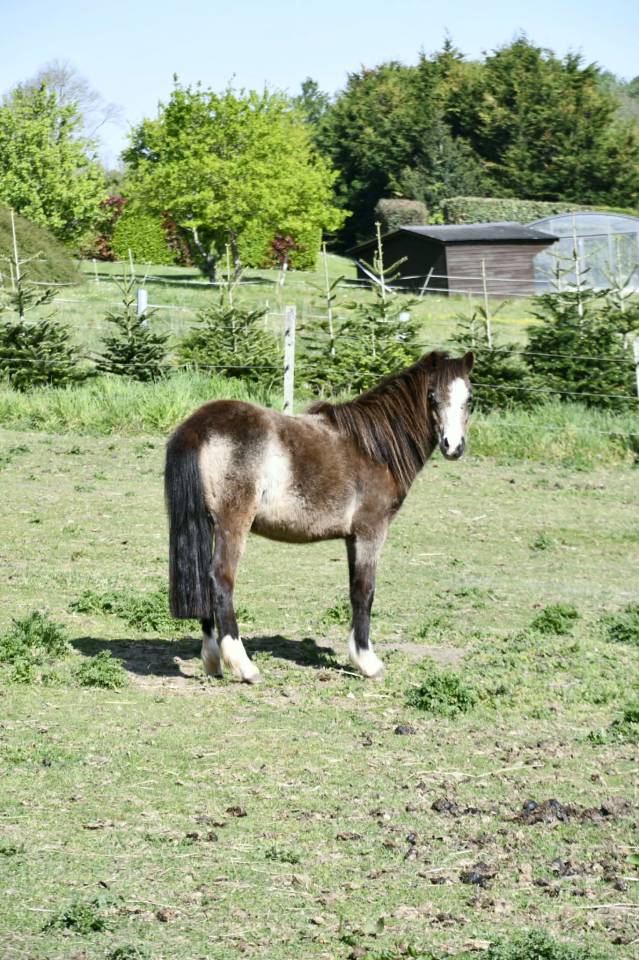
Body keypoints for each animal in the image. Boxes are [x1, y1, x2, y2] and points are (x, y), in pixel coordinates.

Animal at [164, 350, 474, 684]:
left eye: (469, 398)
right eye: (432, 396)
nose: (453, 446)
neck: (373, 449)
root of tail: (199, 425)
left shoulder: (352, 538)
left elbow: (354, 589)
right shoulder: (370, 532)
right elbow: (365, 591)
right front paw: (367, 662)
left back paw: (212, 661)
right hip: (233, 524)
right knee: (220, 579)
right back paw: (244, 666)